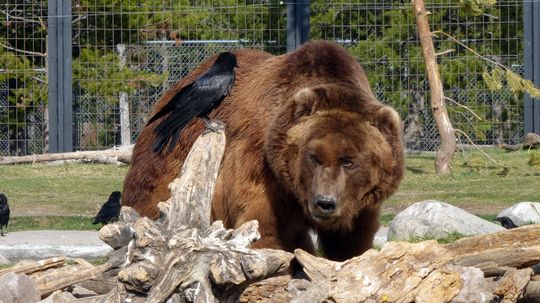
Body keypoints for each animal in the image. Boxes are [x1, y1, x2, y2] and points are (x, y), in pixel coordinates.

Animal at [122, 41, 400, 262]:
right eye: (313, 157)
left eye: (349, 161)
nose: (325, 203)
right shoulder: (262, 169)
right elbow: (262, 226)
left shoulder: (357, 203)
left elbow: (353, 239)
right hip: (168, 160)